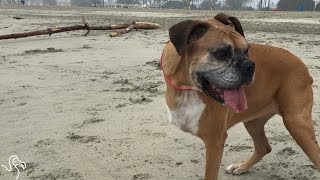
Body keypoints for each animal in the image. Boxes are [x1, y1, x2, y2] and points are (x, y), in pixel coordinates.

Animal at [162, 13, 320, 179]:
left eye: (246, 51)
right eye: (221, 53)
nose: (250, 65)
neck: (186, 89)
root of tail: (304, 68)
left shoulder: (215, 142)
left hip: (296, 123)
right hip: (253, 121)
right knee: (264, 147)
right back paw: (241, 167)